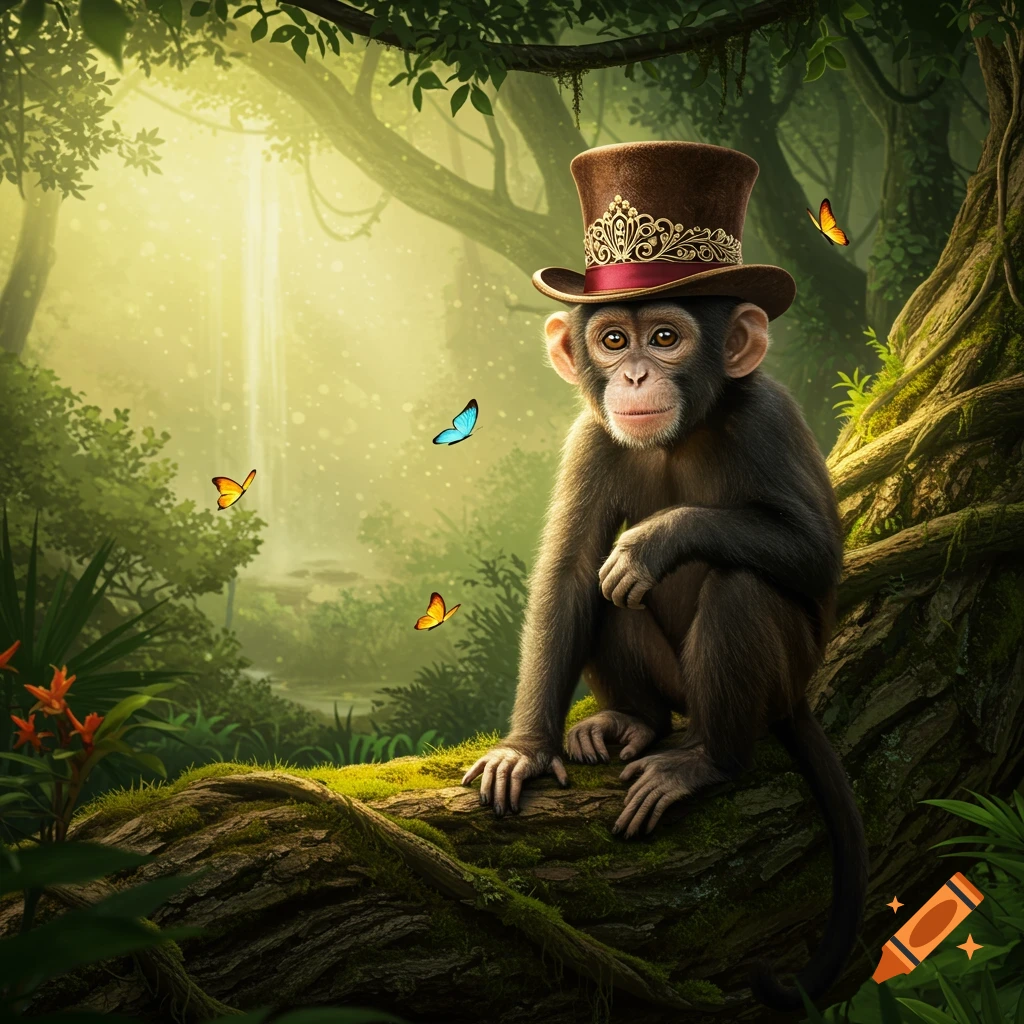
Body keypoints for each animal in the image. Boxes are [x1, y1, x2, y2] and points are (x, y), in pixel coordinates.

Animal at [461, 295, 868, 1011]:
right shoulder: (590, 442)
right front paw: (525, 750)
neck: (684, 432)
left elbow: (816, 549)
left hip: (781, 679)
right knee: (606, 595)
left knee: (739, 587)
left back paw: (705, 761)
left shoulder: (769, 417)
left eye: (665, 337)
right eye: (613, 340)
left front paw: (655, 540)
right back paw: (632, 721)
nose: (634, 375)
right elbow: (570, 573)